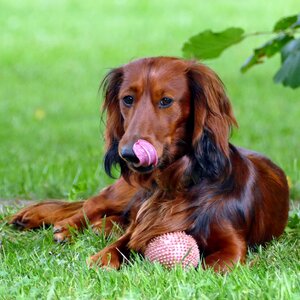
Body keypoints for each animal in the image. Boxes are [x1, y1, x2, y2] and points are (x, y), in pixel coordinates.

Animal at [9, 56, 290, 272]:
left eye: (166, 100)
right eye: (127, 99)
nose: (128, 154)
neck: (174, 185)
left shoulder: (232, 245)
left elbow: (212, 267)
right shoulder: (139, 228)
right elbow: (115, 247)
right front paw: (101, 260)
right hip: (123, 191)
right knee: (87, 207)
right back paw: (61, 227)